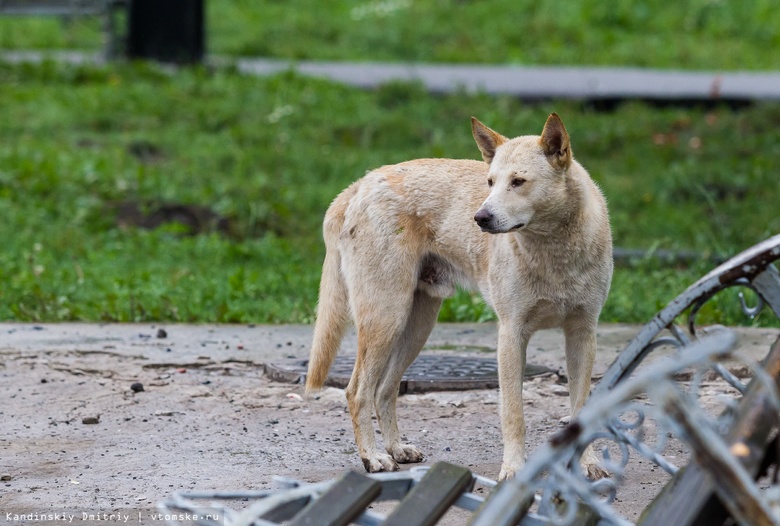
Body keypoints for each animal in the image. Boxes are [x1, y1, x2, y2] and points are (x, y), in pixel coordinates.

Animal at [304, 115, 616, 482]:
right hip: (386, 319)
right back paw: (374, 457)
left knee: (384, 390)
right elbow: (514, 414)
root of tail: (361, 184)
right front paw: (513, 469)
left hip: (415, 328)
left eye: (518, 182)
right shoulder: (511, 334)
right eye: (490, 182)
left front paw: (587, 463)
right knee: (357, 392)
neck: (553, 251)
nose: (480, 218)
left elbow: (582, 409)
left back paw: (395, 448)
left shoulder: (583, 333)